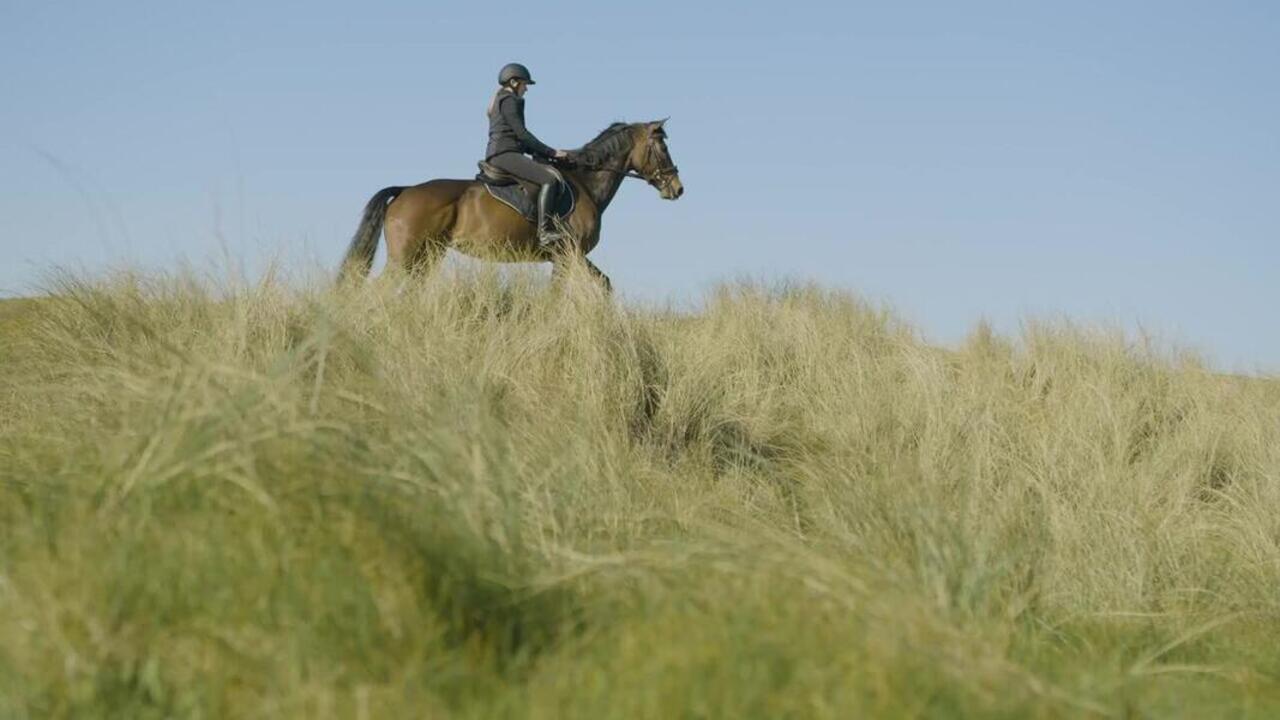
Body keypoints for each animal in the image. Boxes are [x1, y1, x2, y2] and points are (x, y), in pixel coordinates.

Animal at [339, 120, 683, 291]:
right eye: (662, 148)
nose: (677, 189)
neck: (586, 183)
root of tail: (405, 191)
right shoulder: (568, 254)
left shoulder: (566, 257)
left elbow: (601, 285)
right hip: (406, 258)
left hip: (426, 257)